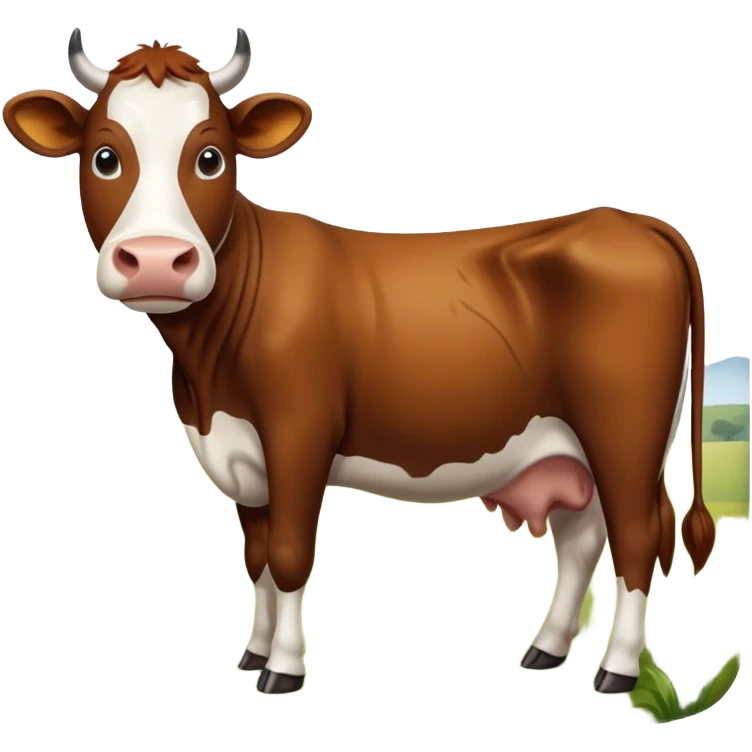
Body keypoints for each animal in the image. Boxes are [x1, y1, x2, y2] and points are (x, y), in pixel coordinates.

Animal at [2, 27, 716, 697]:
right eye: (103, 156)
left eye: (210, 157)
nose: (155, 260)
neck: (208, 373)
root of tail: (632, 222)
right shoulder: (243, 457)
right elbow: (258, 558)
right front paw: (254, 654)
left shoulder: (298, 434)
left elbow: (291, 554)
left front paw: (284, 668)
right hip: (569, 447)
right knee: (581, 536)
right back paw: (546, 649)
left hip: (626, 433)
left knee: (638, 535)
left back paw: (617, 669)